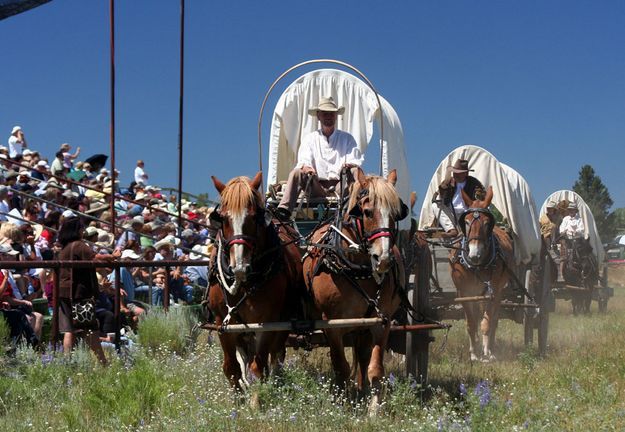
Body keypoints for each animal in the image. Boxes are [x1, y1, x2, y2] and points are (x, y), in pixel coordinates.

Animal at [206, 173, 302, 392]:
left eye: (253, 217)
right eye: (223, 218)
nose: (239, 267)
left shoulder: (267, 322)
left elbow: (259, 367)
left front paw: (257, 398)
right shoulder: (223, 323)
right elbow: (231, 368)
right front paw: (239, 398)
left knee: (276, 356)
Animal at [302, 167, 404, 414]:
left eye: (396, 214)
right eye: (366, 212)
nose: (383, 259)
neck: (358, 269)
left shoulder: (381, 321)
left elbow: (375, 368)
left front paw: (374, 409)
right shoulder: (332, 324)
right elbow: (341, 367)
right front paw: (342, 405)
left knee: (363, 356)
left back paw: (362, 389)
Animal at [448, 186, 512, 362]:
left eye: (487, 223)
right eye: (466, 221)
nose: (475, 254)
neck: (476, 266)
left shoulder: (492, 291)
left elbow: (486, 323)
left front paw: (486, 352)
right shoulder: (464, 293)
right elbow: (471, 323)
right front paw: (473, 354)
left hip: (496, 292)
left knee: (493, 319)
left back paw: (490, 348)